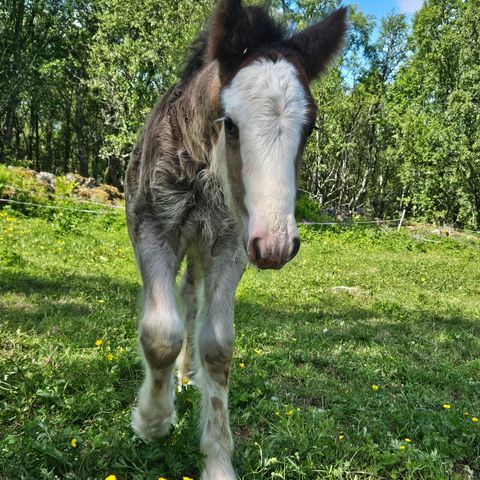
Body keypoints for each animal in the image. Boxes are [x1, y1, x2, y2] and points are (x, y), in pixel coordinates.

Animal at [125, 1, 346, 478]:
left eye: (310, 129)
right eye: (230, 125)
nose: (277, 245)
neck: (202, 172)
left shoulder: (231, 245)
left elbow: (217, 345)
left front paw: (217, 458)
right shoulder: (151, 229)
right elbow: (160, 332)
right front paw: (152, 420)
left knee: (191, 296)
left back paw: (187, 373)